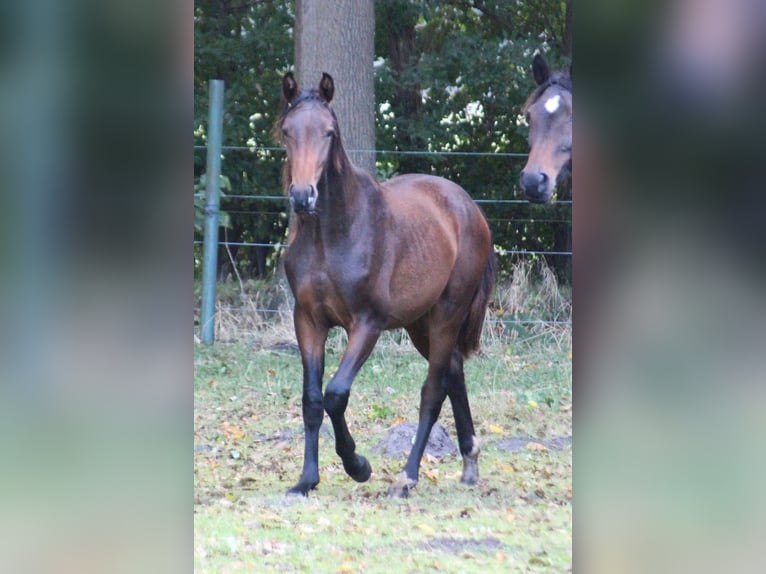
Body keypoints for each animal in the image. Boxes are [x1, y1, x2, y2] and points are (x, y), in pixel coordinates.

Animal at [276, 72, 498, 500]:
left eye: (329, 132)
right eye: (287, 131)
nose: (302, 196)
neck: (332, 235)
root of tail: (470, 209)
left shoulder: (367, 324)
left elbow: (335, 394)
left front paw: (358, 465)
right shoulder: (308, 320)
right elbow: (312, 399)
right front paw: (306, 480)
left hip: (446, 316)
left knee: (433, 392)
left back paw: (406, 478)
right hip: (419, 324)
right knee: (454, 372)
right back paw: (469, 461)